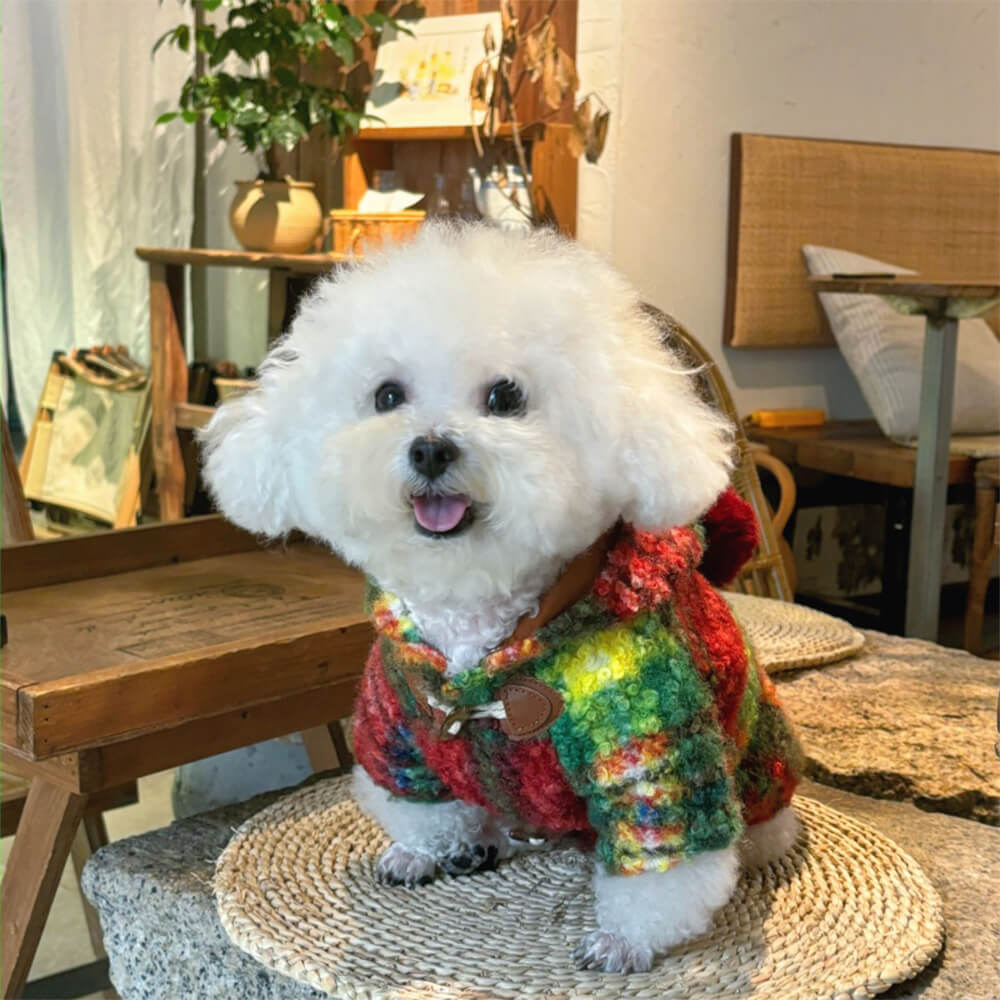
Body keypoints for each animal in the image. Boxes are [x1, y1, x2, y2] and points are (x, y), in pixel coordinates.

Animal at [203, 223, 804, 972]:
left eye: (506, 397)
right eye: (387, 396)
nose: (431, 449)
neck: (482, 624)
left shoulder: (650, 750)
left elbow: (663, 864)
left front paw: (625, 940)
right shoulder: (397, 723)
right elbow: (422, 803)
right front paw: (428, 850)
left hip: (761, 779)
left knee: (765, 829)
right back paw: (485, 839)